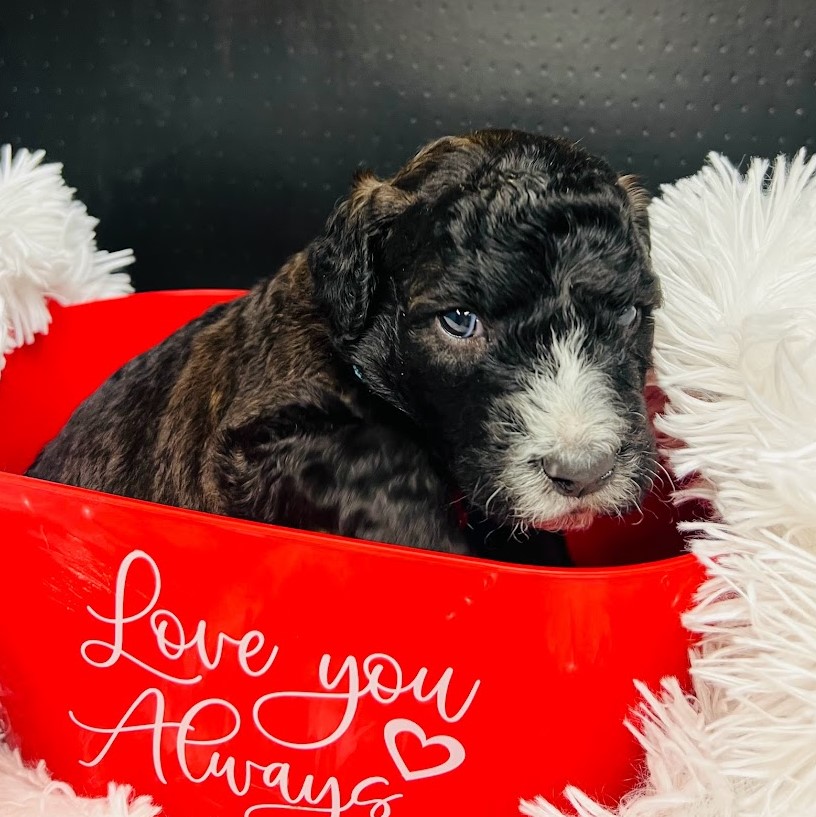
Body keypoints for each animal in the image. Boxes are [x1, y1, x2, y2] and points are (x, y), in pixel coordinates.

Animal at [28, 131, 660, 564]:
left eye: (629, 314)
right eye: (460, 321)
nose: (584, 473)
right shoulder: (253, 444)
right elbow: (380, 449)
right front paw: (437, 545)